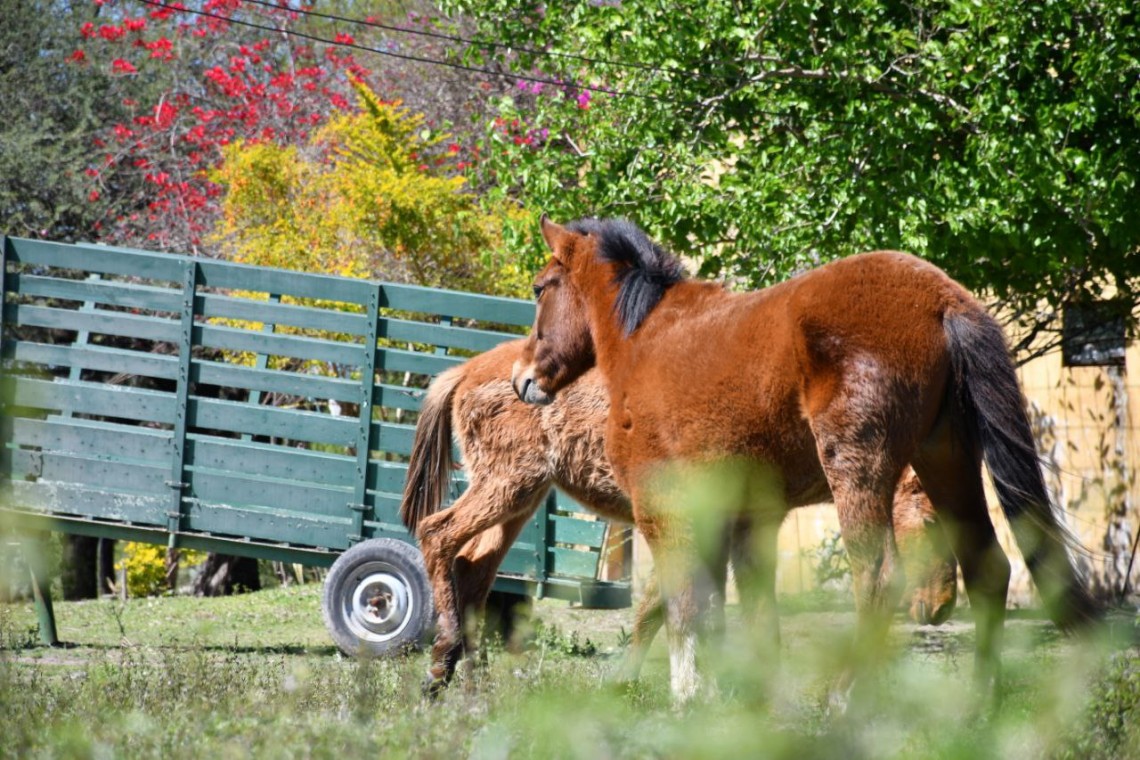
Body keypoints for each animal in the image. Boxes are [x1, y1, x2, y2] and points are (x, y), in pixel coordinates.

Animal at [401, 338, 959, 694]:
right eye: (934, 522)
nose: (941, 606)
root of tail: (464, 372)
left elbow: (658, 608)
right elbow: (675, 609)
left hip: (522, 495)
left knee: (474, 569)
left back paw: (471, 682)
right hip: (506, 484)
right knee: (437, 534)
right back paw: (440, 668)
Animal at [511, 216, 1098, 705]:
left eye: (540, 288)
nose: (523, 378)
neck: (647, 338)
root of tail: (943, 300)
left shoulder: (665, 511)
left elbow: (680, 606)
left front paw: (687, 697)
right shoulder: (745, 518)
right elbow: (738, 613)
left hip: (860, 471)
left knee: (879, 575)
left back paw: (847, 695)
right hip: (946, 460)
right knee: (988, 567)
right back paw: (980, 699)